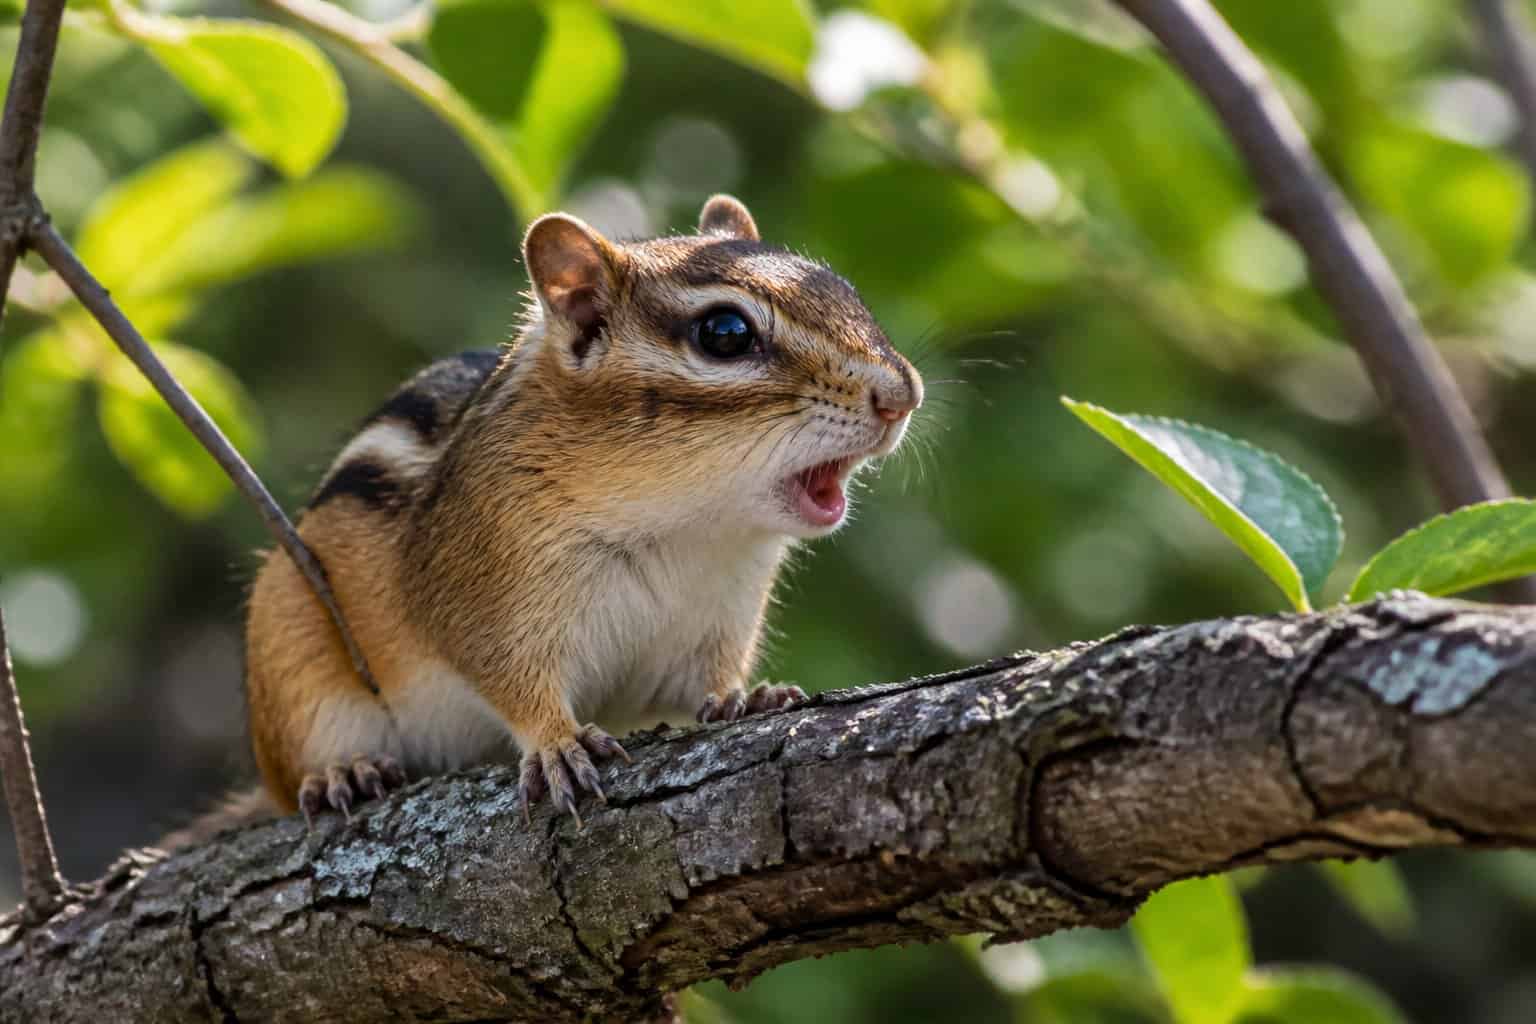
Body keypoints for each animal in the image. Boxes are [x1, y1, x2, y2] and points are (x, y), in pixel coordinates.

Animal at [238, 194, 922, 829]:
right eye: (725, 333)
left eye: (844, 290)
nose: (903, 394)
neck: (684, 526)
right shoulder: (483, 585)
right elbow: (507, 674)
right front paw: (557, 743)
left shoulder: (717, 620)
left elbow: (702, 681)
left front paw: (743, 698)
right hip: (290, 645)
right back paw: (341, 773)